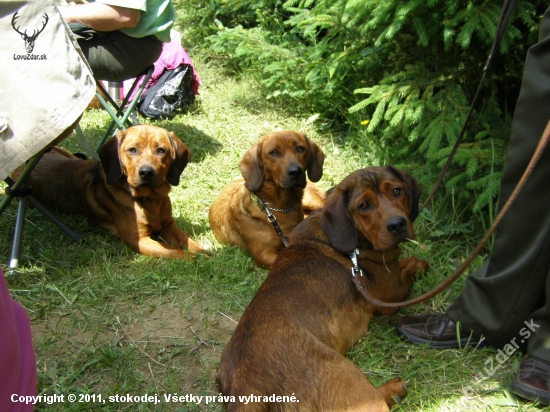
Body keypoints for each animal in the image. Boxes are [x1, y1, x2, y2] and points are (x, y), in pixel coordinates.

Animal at [218, 166, 430, 410]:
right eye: (364, 205)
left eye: (396, 191)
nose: (397, 224)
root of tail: (246, 389)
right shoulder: (394, 295)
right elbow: (406, 271)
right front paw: (417, 264)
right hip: (348, 374)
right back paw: (394, 389)